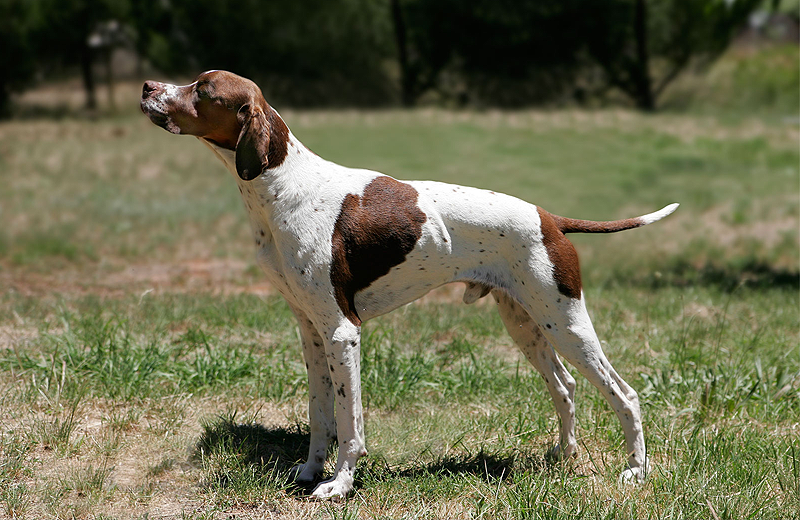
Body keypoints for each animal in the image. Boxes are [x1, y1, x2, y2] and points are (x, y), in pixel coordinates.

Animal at [142, 71, 676, 498]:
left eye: (203, 89)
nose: (147, 87)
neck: (285, 187)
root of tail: (550, 218)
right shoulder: (311, 332)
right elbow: (320, 416)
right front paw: (311, 470)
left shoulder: (343, 331)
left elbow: (349, 423)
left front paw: (339, 484)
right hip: (527, 323)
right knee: (565, 387)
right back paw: (564, 455)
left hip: (566, 322)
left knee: (624, 394)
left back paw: (636, 471)